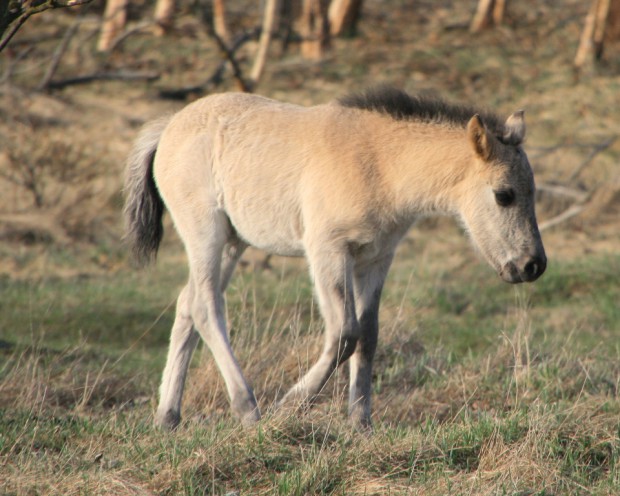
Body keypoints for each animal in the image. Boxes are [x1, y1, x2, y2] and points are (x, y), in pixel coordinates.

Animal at [123, 87, 544, 428]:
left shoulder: (376, 258)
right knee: (206, 307)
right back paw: (248, 409)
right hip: (204, 232)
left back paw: (168, 416)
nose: (533, 266)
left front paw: (360, 423)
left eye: (532, 191)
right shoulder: (328, 251)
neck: (379, 164)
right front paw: (290, 406)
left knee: (188, 303)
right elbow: (345, 333)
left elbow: (368, 335)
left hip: (232, 241)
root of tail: (168, 127)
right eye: (504, 195)